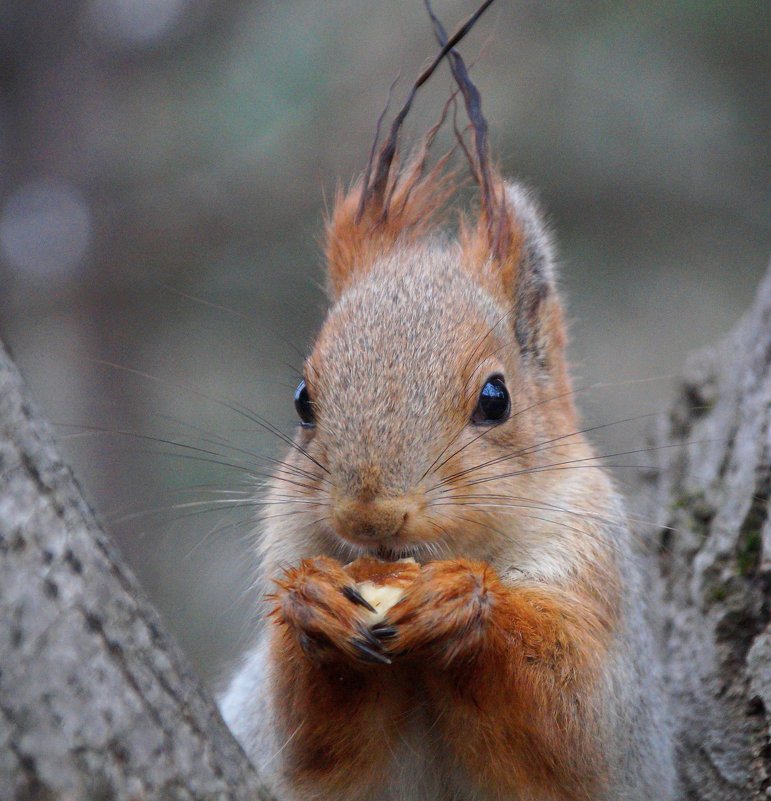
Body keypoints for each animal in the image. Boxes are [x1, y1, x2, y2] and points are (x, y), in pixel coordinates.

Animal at [219, 7, 676, 800]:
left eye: (495, 398)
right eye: (303, 399)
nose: (370, 516)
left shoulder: (595, 576)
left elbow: (573, 720)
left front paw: (466, 602)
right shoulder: (285, 548)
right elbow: (309, 735)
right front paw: (313, 604)